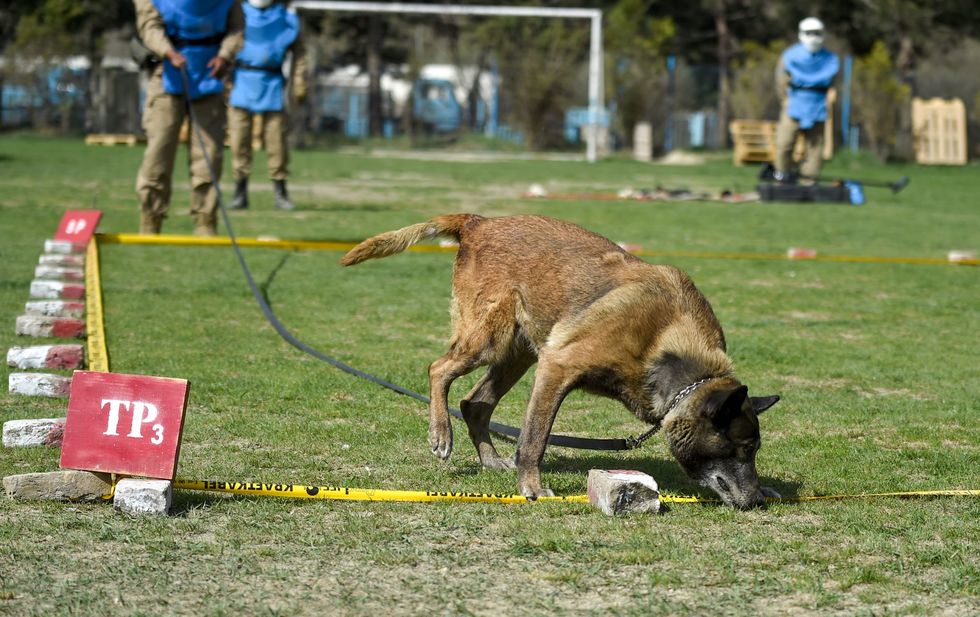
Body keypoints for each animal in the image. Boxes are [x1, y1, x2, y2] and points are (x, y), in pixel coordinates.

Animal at [340, 214, 776, 508]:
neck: (666, 348)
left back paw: (490, 460)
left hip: (517, 354)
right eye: (740, 448)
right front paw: (531, 488)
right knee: (438, 370)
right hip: (490, 342)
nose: (757, 500)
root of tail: (479, 222)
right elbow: (534, 439)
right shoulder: (557, 368)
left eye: (754, 451)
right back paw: (441, 434)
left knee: (474, 403)